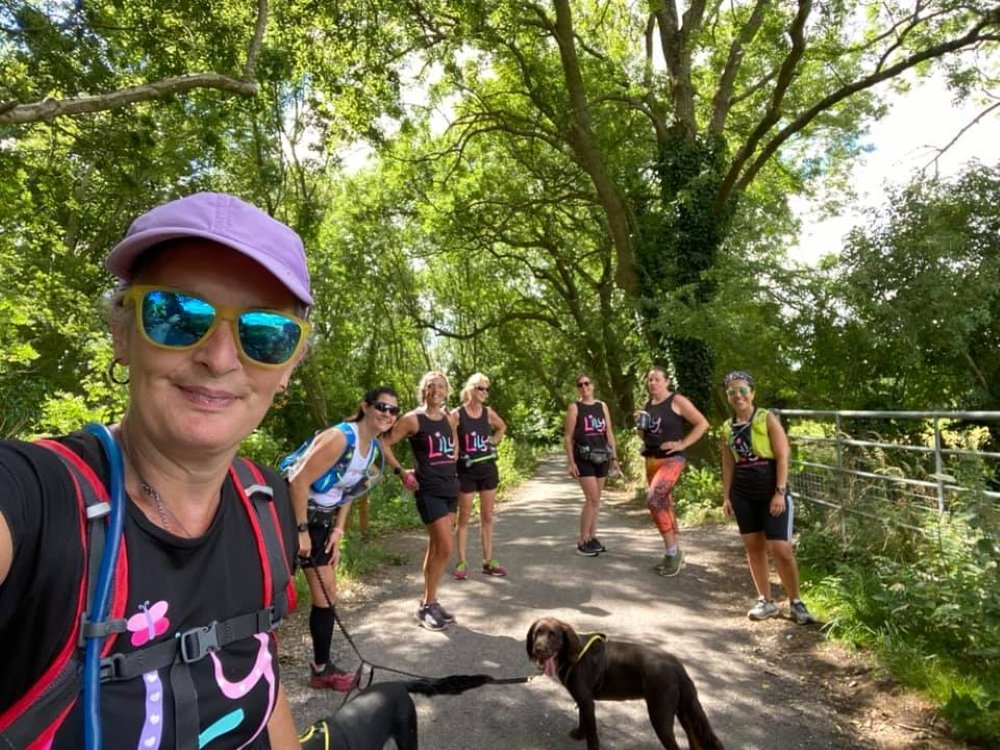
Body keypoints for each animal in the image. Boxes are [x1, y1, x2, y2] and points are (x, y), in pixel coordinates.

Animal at [528, 616, 724, 750]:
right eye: (537, 633)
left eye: (553, 635)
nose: (538, 649)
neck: (574, 656)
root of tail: (677, 666)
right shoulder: (584, 700)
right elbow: (583, 720)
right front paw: (579, 734)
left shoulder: (587, 701)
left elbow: (592, 733)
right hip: (684, 711)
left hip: (660, 714)